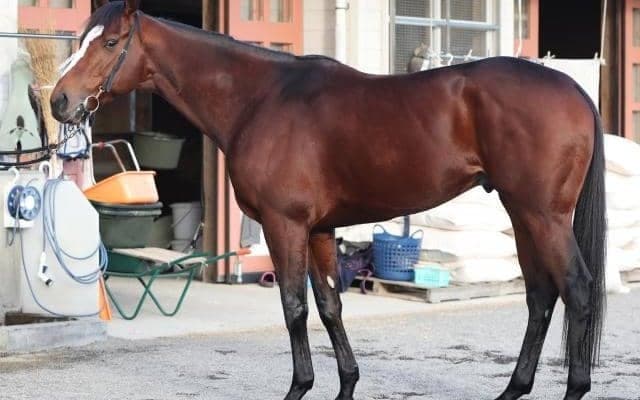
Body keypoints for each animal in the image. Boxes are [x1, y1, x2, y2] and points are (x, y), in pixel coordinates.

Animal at [50, 1, 606, 399]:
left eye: (111, 43)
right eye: (81, 39)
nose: (59, 101)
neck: (261, 100)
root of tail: (575, 90)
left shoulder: (285, 225)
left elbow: (294, 307)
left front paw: (300, 386)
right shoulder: (319, 229)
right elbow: (331, 305)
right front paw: (346, 384)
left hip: (542, 215)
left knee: (577, 290)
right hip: (522, 213)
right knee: (540, 296)